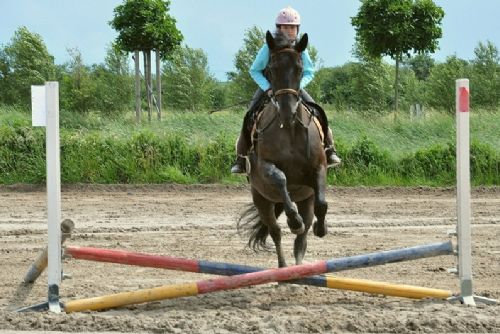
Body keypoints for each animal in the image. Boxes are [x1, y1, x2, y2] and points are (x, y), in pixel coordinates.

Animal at [238, 30, 328, 268]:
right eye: (271, 69)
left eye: (300, 69)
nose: (288, 111)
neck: (290, 130)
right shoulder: (265, 167)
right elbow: (280, 179)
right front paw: (293, 220)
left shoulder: (319, 168)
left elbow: (322, 203)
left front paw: (321, 228)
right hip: (261, 199)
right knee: (276, 231)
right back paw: (283, 267)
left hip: (305, 198)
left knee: (302, 238)